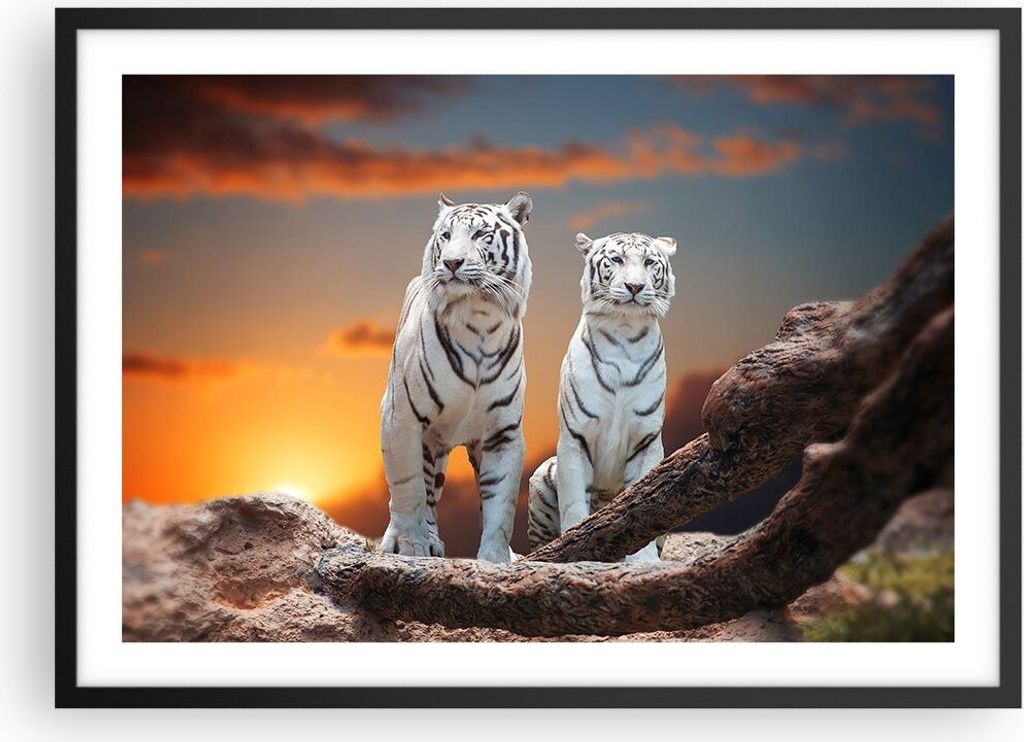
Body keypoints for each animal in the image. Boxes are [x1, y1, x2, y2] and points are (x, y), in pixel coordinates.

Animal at [379, 191, 533, 562]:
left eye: (480, 234)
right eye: (446, 236)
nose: (451, 263)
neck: (479, 316)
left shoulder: (503, 431)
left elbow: (501, 503)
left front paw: (496, 559)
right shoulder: (400, 417)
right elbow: (407, 491)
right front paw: (410, 547)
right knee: (420, 492)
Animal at [528, 230, 677, 561]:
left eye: (649, 262)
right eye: (616, 259)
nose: (635, 286)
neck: (625, 331)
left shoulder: (646, 440)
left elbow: (644, 503)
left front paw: (643, 561)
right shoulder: (575, 437)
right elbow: (573, 504)